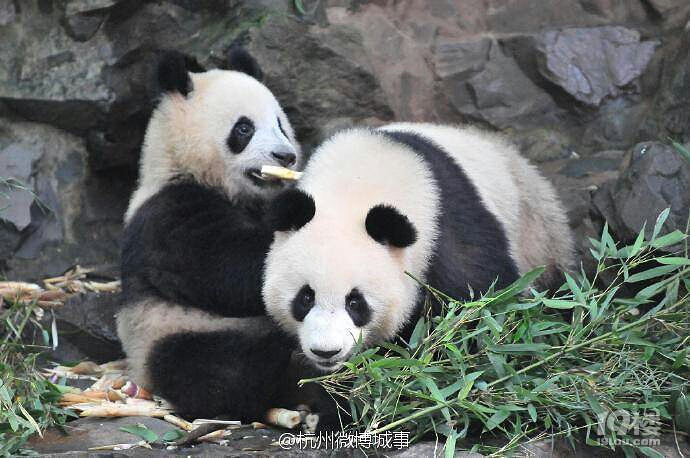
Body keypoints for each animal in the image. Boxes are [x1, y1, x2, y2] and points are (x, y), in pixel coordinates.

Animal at [115, 47, 300, 422]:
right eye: (244, 128)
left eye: (280, 125)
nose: (285, 156)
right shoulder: (170, 220)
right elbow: (231, 269)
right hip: (170, 331)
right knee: (217, 371)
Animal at [260, 121, 572, 372]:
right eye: (305, 297)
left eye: (355, 302)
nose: (326, 351)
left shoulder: (448, 229)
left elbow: (485, 306)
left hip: (539, 235)